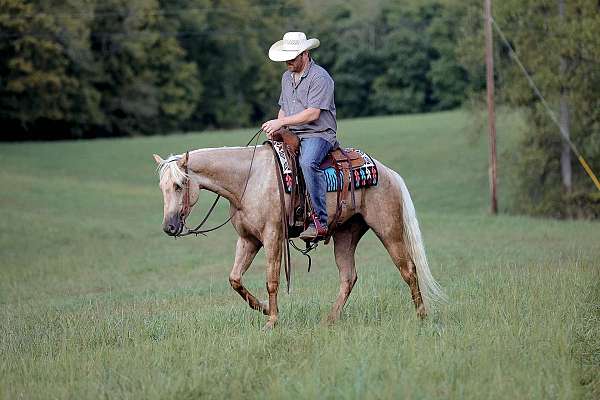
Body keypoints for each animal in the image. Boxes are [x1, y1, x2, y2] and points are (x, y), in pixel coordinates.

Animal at [154, 144, 446, 328]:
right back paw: (329, 320)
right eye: (162, 187)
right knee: (348, 277)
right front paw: (263, 308)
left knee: (408, 269)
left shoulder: (272, 236)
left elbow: (272, 280)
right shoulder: (248, 240)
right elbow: (235, 279)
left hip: (389, 230)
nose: (169, 227)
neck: (248, 180)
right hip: (346, 235)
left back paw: (422, 315)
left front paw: (272, 321)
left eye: (179, 185)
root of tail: (387, 172)